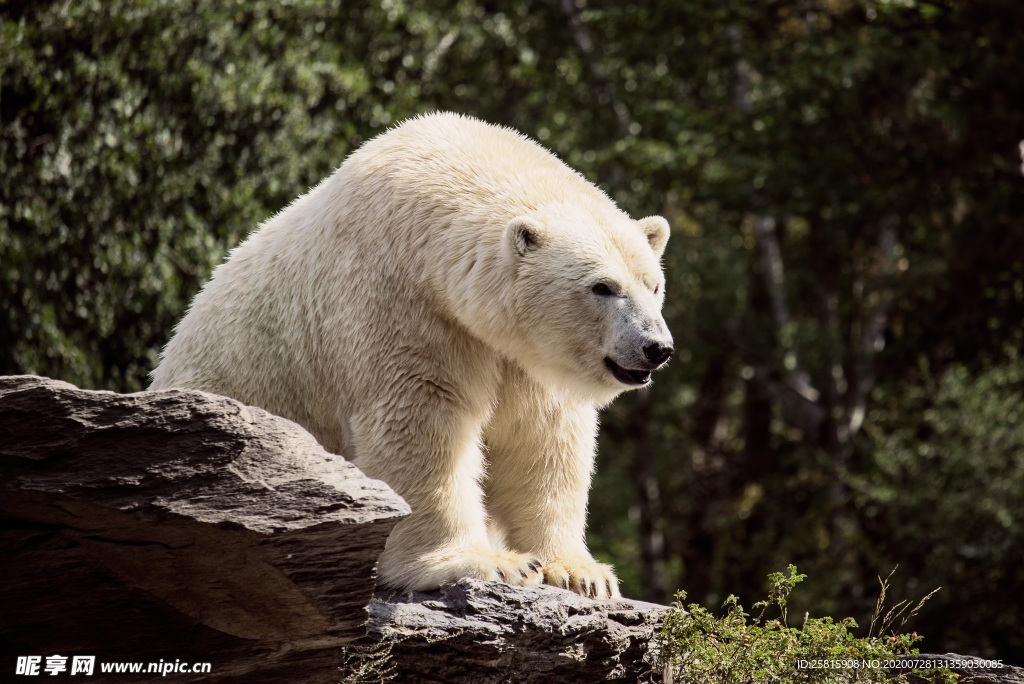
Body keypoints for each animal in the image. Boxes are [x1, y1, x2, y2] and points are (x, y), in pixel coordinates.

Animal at [146, 112, 671, 597]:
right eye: (602, 287)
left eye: (653, 285)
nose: (656, 348)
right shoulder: (398, 299)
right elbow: (421, 421)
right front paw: (488, 563)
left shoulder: (519, 352)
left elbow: (542, 437)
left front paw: (581, 573)